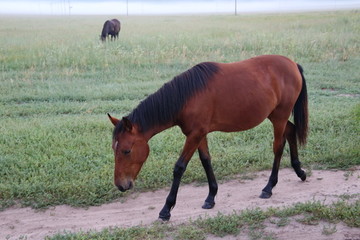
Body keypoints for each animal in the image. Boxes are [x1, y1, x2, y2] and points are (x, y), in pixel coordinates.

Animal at [108, 54, 308, 221]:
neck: (188, 96)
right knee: (291, 132)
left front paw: (166, 209)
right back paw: (299, 171)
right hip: (275, 116)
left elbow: (179, 167)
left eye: (126, 150)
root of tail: (293, 64)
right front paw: (211, 196)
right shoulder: (199, 134)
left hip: (280, 116)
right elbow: (205, 160)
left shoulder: (195, 135)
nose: (121, 185)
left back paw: (269, 187)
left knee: (278, 147)